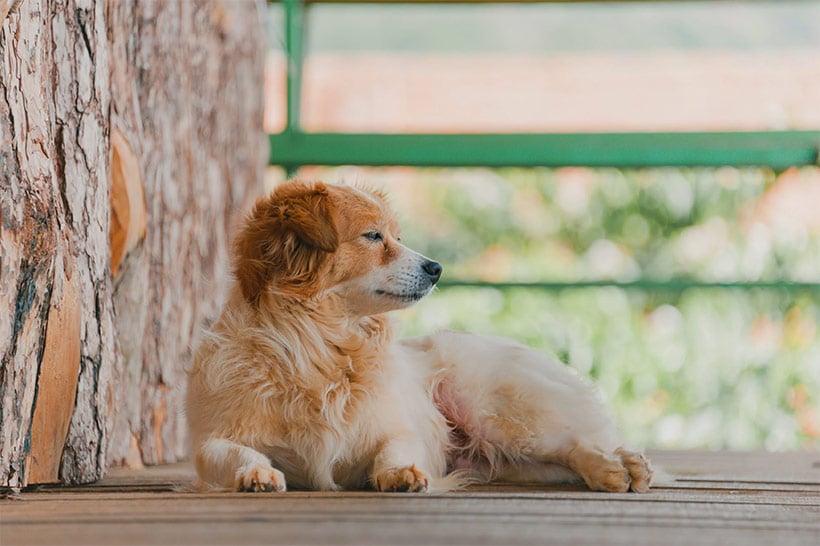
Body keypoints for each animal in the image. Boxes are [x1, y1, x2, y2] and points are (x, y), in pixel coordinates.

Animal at [187, 181, 652, 490]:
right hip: (509, 458)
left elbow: (396, 448)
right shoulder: (212, 441)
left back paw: (616, 467)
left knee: (573, 440)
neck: (321, 344)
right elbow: (232, 453)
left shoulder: (397, 428)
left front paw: (399, 473)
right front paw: (255, 471)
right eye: (373, 236)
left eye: (397, 236)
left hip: (497, 416)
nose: (437, 268)